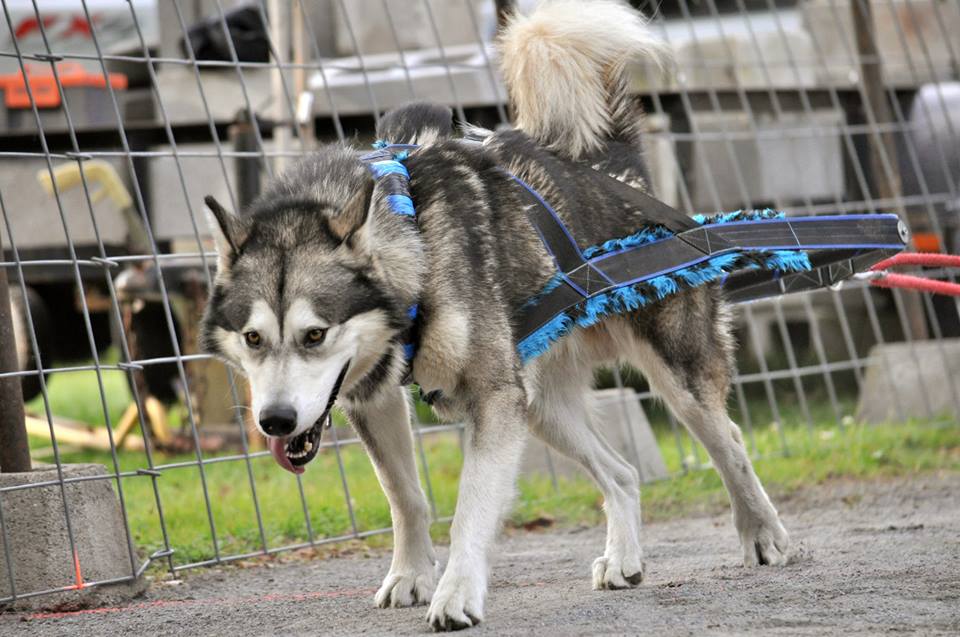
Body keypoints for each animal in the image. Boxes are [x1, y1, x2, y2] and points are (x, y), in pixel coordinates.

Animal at [201, 0, 788, 628]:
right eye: (253, 339)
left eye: (315, 335)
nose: (276, 422)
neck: (415, 244)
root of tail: (614, 167)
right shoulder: (375, 400)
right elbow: (406, 498)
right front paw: (410, 575)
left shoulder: (492, 400)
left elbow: (469, 510)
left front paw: (456, 592)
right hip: (540, 406)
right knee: (623, 473)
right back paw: (624, 558)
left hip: (671, 380)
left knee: (729, 440)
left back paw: (763, 533)